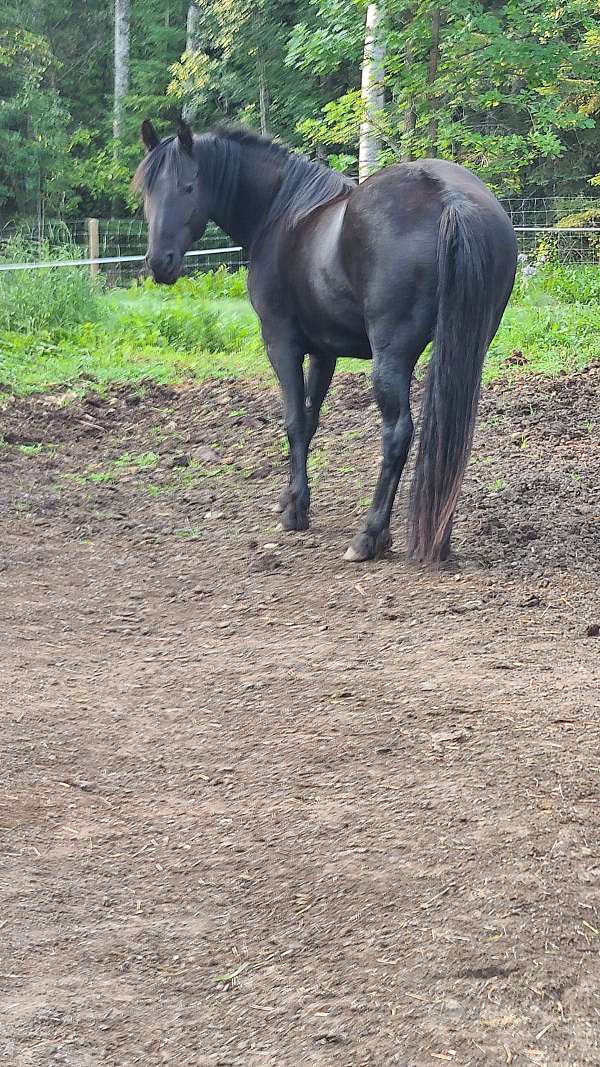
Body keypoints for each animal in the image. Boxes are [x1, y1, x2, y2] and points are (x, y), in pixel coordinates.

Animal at [134, 121, 514, 563]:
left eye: (189, 186)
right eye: (148, 190)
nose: (159, 263)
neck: (282, 212)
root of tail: (450, 199)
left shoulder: (281, 343)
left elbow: (294, 420)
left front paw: (295, 511)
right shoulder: (323, 352)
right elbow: (312, 417)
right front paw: (291, 498)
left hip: (393, 356)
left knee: (398, 433)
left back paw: (369, 535)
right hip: (466, 346)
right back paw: (438, 536)